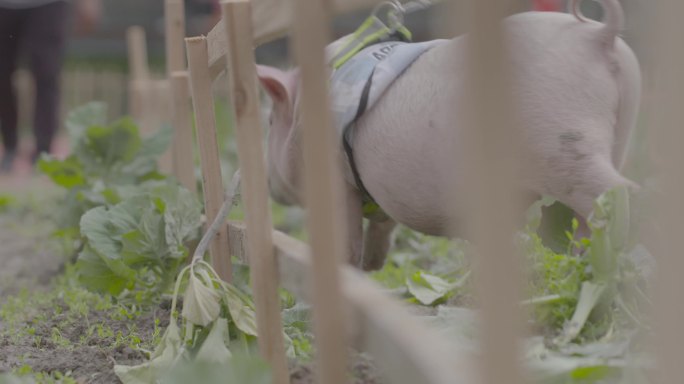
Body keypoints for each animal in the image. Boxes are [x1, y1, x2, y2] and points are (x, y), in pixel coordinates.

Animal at [255, 0, 640, 270]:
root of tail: (597, 36)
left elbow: (345, 236)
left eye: (270, 123)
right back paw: (577, 260)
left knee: (616, 193)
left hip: (565, 144)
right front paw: (373, 267)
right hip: (621, 130)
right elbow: (382, 227)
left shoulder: (336, 177)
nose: (267, 183)